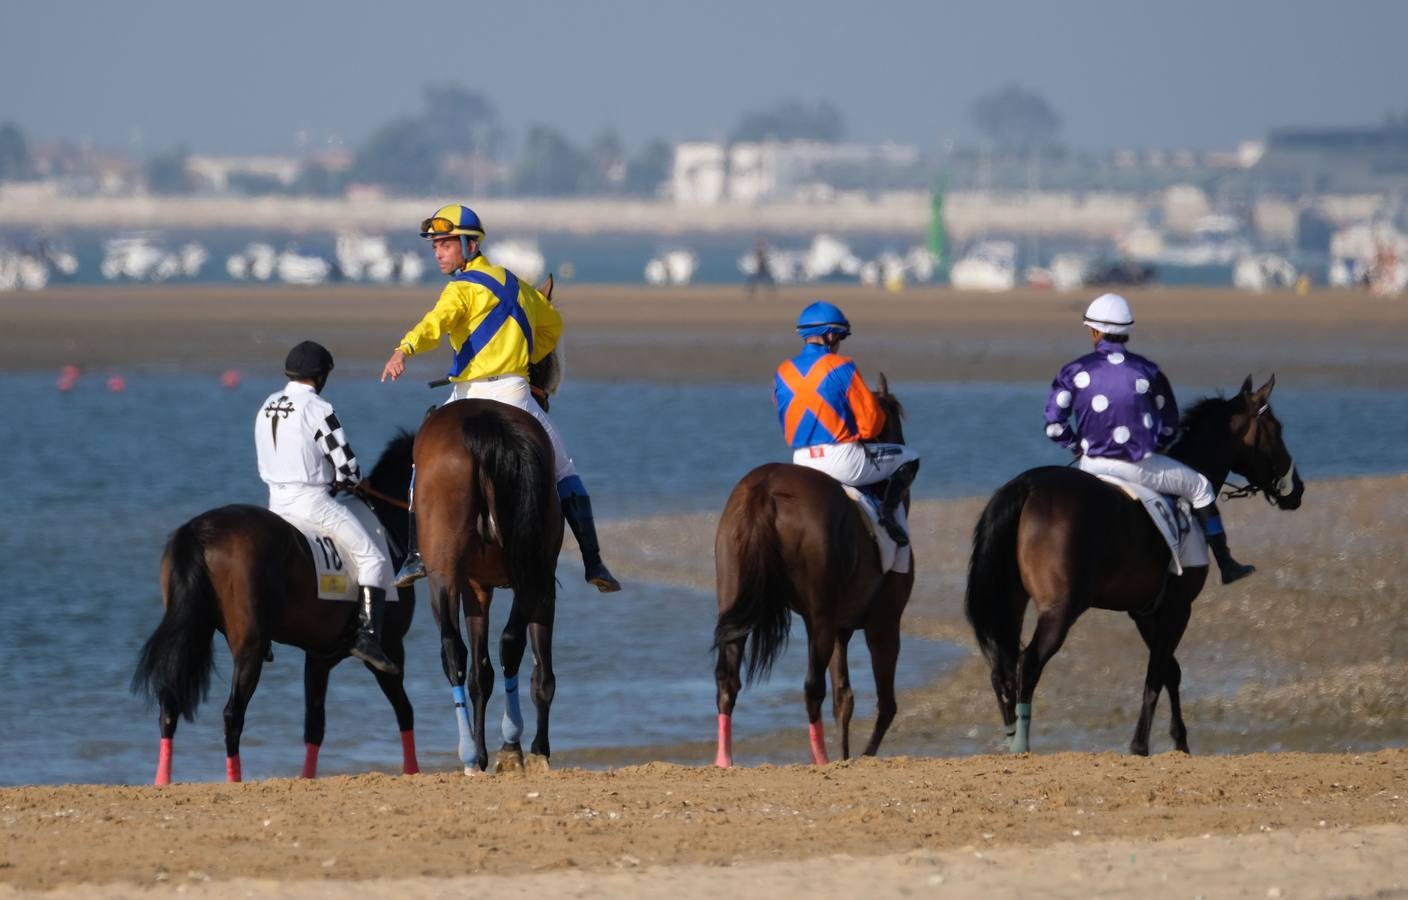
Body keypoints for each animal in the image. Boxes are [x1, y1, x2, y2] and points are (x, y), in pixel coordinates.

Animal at [131, 433, 416, 783]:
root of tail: (200, 530)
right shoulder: (390, 648)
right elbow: (404, 711)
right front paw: (413, 771)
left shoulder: (319, 658)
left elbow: (314, 726)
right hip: (250, 647)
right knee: (232, 714)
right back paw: (234, 781)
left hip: (193, 631)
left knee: (170, 705)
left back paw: (163, 781)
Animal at [411, 400, 563, 777]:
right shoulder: (496, 586)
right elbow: (500, 668)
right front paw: (526, 748)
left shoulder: (472, 587)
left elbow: (480, 668)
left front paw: (487, 752)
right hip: (531, 573)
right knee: (514, 651)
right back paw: (511, 747)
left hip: (445, 574)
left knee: (455, 650)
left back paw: (471, 752)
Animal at [715, 374, 912, 766]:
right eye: (894, 421)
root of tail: (765, 488)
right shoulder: (883, 623)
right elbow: (883, 705)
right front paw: (859, 756)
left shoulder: (841, 627)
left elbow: (844, 698)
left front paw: (847, 754)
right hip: (820, 616)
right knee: (812, 688)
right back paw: (820, 759)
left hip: (735, 598)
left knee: (728, 681)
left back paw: (724, 761)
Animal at [968, 377, 1306, 754]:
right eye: (1277, 428)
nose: (1298, 489)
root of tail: (1028, 486)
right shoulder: (1177, 606)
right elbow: (1156, 672)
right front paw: (1141, 745)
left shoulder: (1143, 611)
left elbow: (1169, 669)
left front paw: (1180, 741)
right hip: (1061, 609)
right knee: (1028, 663)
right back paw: (1021, 743)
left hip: (1011, 601)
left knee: (1003, 666)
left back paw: (1010, 735)